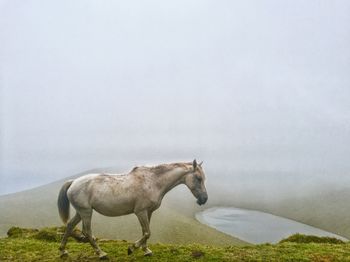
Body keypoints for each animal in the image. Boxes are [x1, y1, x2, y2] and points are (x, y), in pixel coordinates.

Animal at [57, 160, 208, 258]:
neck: (153, 181)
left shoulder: (148, 212)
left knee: (70, 226)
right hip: (86, 212)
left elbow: (145, 232)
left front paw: (146, 250)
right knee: (87, 232)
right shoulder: (140, 212)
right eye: (198, 178)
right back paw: (101, 253)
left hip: (81, 212)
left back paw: (63, 251)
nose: (204, 199)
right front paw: (131, 248)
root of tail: (73, 182)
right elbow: (147, 232)